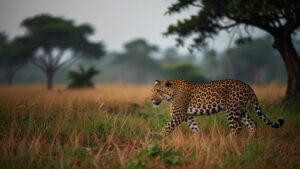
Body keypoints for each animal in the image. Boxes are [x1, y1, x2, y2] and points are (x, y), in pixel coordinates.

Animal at [150, 79, 284, 137]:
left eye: (158, 91)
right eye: (152, 91)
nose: (151, 99)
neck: (171, 95)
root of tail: (247, 85)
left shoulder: (178, 115)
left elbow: (166, 128)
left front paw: (157, 138)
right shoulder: (188, 116)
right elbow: (195, 128)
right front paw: (199, 139)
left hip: (232, 110)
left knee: (237, 127)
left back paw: (228, 141)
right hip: (241, 110)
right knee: (252, 123)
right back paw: (249, 141)